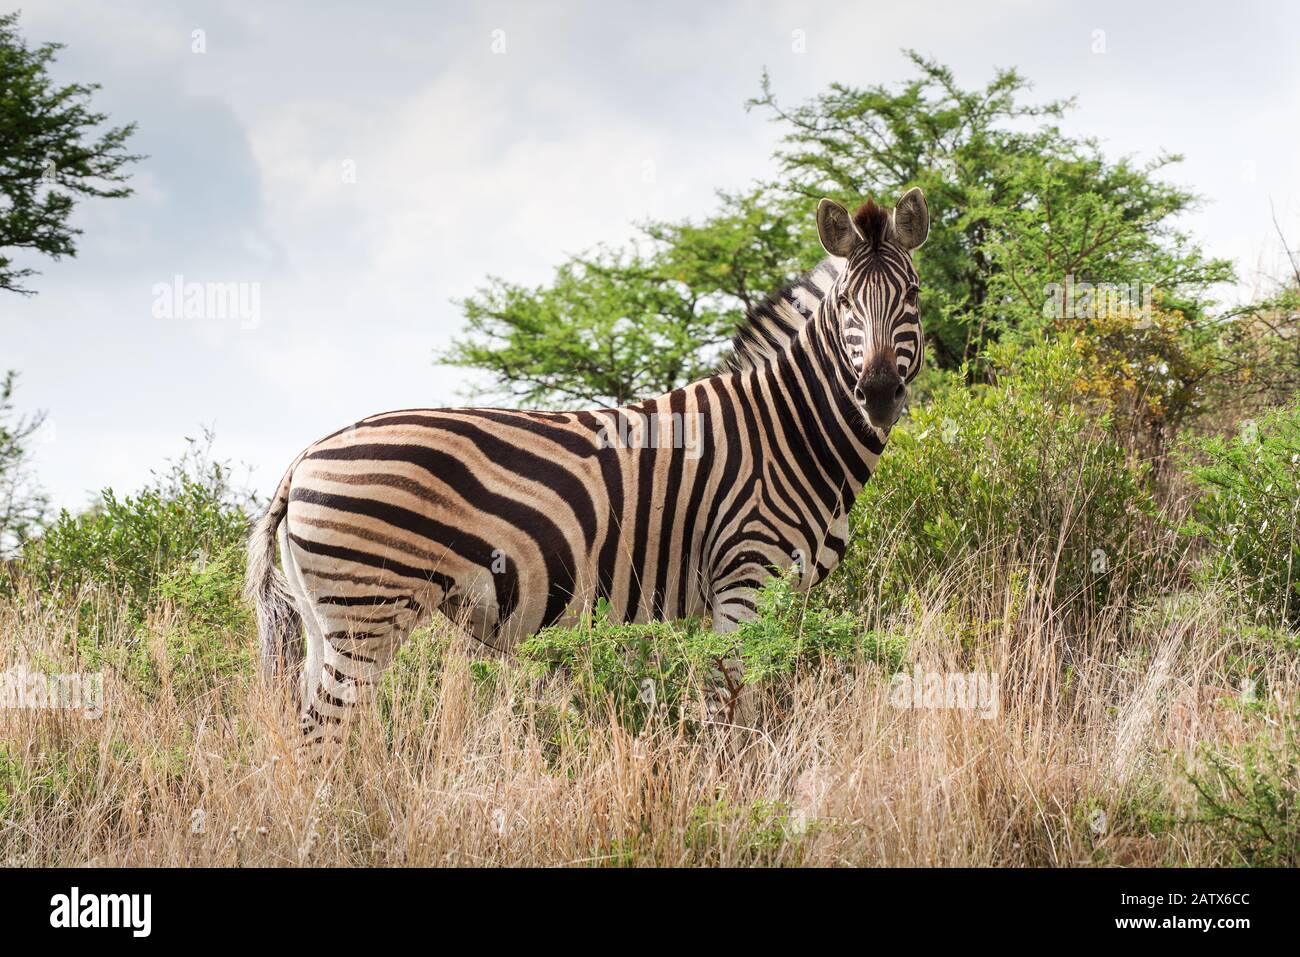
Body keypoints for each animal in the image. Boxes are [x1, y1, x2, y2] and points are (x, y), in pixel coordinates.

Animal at [245, 184, 925, 738]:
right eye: (846, 302)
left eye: (912, 294)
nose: (878, 392)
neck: (786, 429)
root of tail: (304, 457)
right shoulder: (744, 578)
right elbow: (736, 709)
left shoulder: (780, 594)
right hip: (367, 609)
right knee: (326, 731)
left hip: (326, 617)